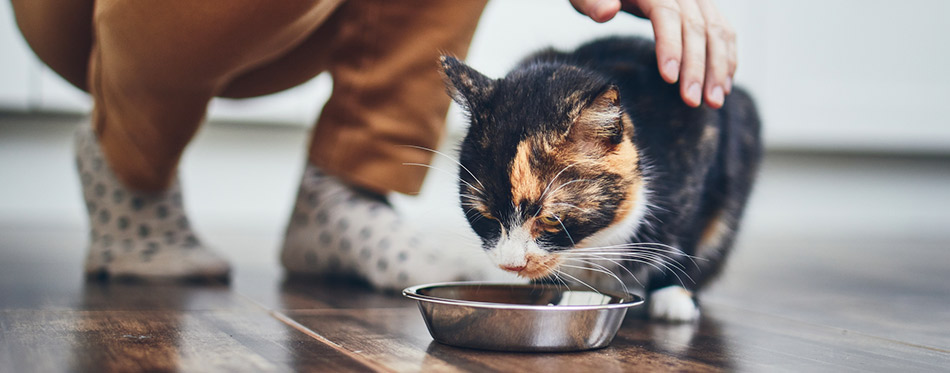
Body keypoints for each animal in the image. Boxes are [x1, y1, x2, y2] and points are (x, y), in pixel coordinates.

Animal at [442, 36, 764, 322]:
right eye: (484, 216)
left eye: (551, 219)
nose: (511, 264)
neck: (591, 243)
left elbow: (688, 232)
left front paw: (674, 294)